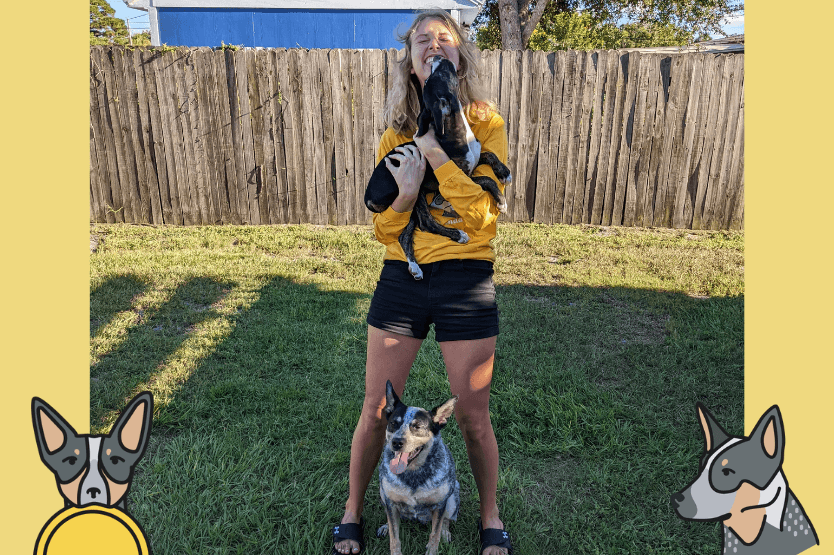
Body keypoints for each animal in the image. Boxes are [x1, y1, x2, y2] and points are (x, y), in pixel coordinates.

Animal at [362, 57, 510, 278]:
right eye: (434, 76)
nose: (437, 57)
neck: (454, 129)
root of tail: (368, 197)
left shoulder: (474, 159)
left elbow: (489, 155)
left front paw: (504, 173)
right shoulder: (452, 179)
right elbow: (486, 179)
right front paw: (501, 201)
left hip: (409, 204)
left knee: (404, 235)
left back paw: (415, 267)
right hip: (413, 192)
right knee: (426, 222)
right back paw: (458, 235)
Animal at [376, 382, 462, 555]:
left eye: (417, 426)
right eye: (393, 423)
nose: (396, 442)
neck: (413, 473)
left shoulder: (440, 505)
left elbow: (435, 534)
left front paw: (433, 547)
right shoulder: (390, 501)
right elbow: (394, 537)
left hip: (453, 498)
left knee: (447, 520)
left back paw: (445, 532)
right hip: (382, 493)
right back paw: (386, 527)